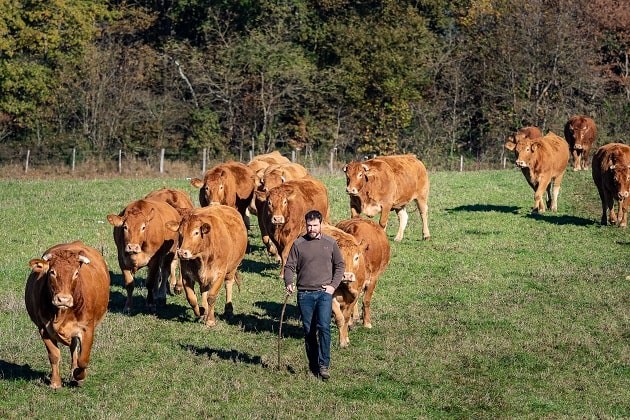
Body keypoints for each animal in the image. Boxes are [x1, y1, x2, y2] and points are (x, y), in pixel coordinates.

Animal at [25, 241, 110, 388]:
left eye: (76, 273)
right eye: (52, 272)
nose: (63, 299)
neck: (61, 314)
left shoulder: (87, 329)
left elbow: (83, 359)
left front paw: (78, 376)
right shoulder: (43, 328)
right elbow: (54, 355)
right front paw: (55, 382)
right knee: (73, 347)